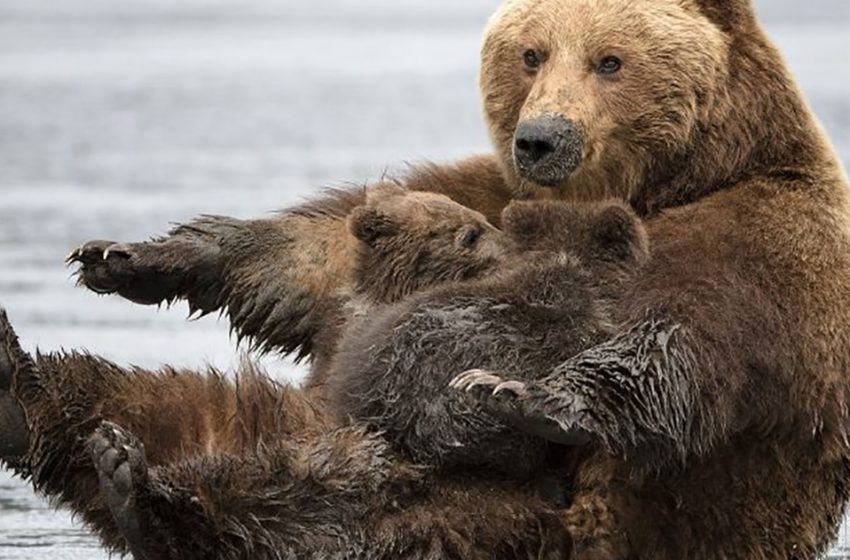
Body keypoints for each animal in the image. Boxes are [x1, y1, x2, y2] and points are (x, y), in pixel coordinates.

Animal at [4, 0, 848, 556]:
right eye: (531, 53)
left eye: (610, 59)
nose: (543, 138)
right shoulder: (487, 192)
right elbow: (315, 260)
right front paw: (131, 255)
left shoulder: (766, 238)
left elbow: (684, 339)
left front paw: (530, 393)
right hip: (282, 416)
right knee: (163, 400)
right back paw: (39, 401)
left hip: (478, 519)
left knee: (316, 510)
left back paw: (151, 498)